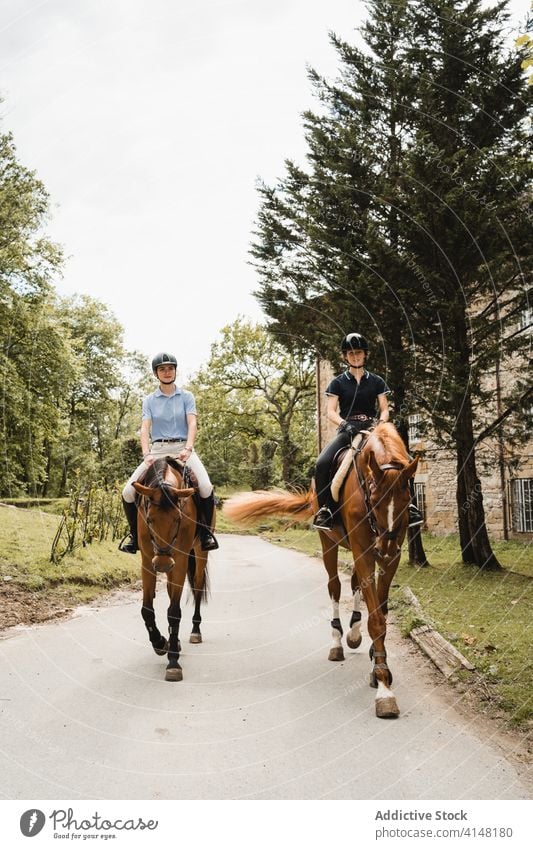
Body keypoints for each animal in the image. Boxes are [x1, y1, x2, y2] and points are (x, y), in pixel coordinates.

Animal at [133, 458, 212, 684]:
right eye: (149, 519)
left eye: (178, 519)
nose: (162, 564)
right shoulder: (147, 561)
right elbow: (147, 609)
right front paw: (161, 643)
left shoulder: (180, 560)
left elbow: (174, 613)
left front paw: (173, 663)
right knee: (170, 590)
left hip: (199, 554)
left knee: (197, 587)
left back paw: (195, 631)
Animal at [222, 424, 418, 716]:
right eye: (373, 498)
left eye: (407, 498)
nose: (385, 547)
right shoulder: (364, 552)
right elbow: (376, 619)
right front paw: (384, 688)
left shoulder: (390, 558)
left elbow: (380, 612)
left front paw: (376, 664)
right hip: (329, 543)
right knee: (335, 587)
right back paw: (337, 642)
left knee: (354, 585)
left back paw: (354, 635)